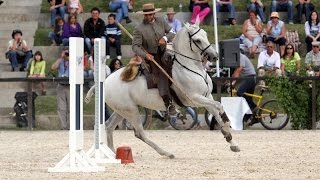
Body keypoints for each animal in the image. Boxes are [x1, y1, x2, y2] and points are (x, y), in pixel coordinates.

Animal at [86, 19, 239, 158]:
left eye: (205, 35)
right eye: (197, 40)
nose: (214, 56)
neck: (190, 68)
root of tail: (105, 81)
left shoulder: (207, 96)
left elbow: (216, 111)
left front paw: (230, 140)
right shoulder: (194, 98)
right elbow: (219, 106)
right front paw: (227, 125)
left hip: (122, 110)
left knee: (109, 126)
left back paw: (112, 154)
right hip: (131, 111)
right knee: (139, 133)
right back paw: (166, 153)